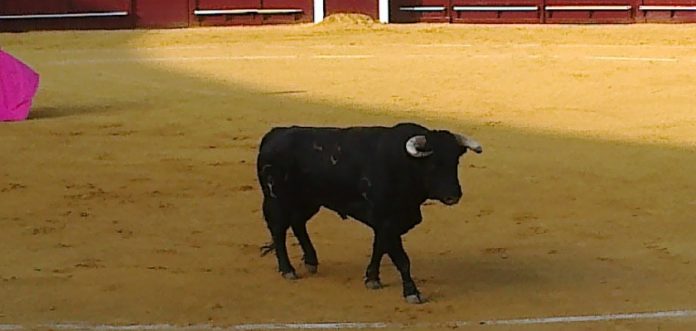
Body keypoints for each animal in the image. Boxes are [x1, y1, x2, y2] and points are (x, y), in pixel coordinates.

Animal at [256, 122, 484, 304]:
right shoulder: (387, 221)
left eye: (455, 161)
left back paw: (311, 262)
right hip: (276, 200)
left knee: (297, 223)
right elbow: (402, 259)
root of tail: (274, 134)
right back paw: (287, 270)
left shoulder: (386, 224)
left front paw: (372, 278)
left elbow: (379, 248)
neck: (404, 165)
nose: (454, 195)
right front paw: (412, 292)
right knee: (278, 230)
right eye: (434, 164)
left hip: (308, 201)